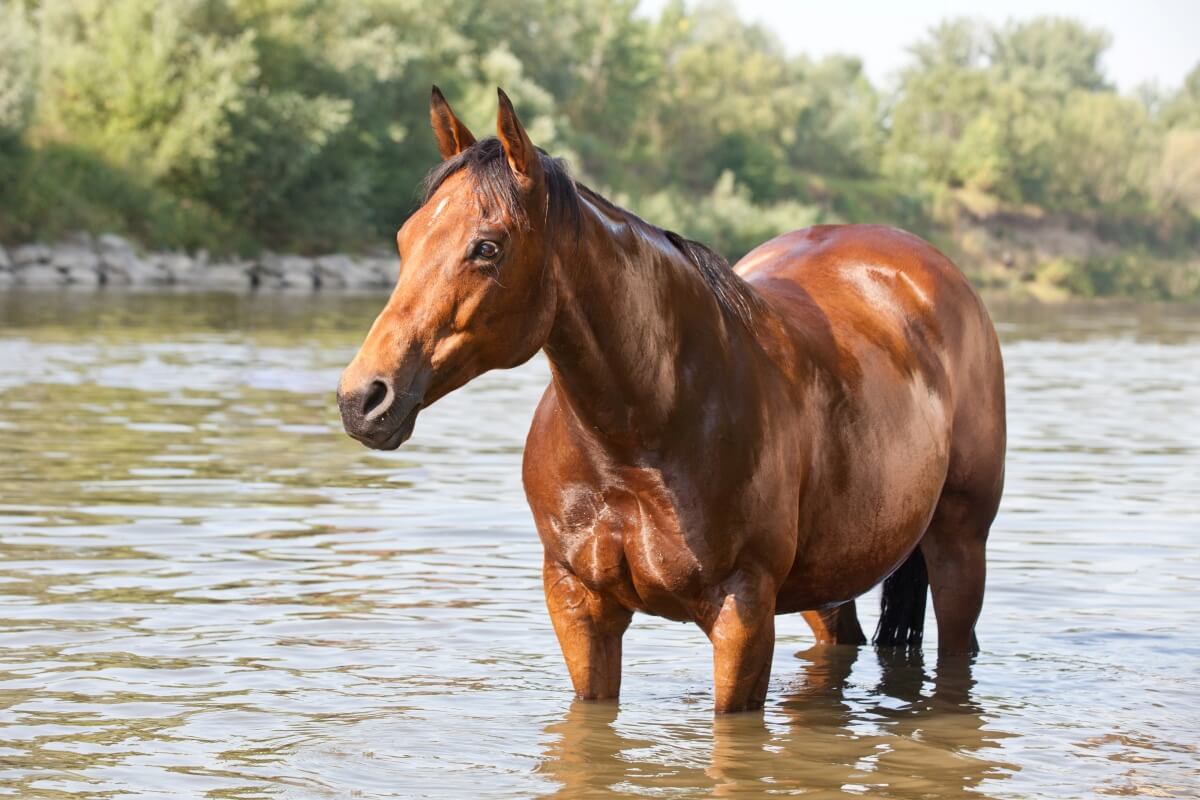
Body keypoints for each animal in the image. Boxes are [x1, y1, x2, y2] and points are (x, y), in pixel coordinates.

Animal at [338, 87, 1006, 714]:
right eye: (405, 239)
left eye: (487, 247)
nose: (362, 397)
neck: (642, 434)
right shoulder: (578, 606)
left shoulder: (742, 615)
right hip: (829, 581)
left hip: (959, 549)